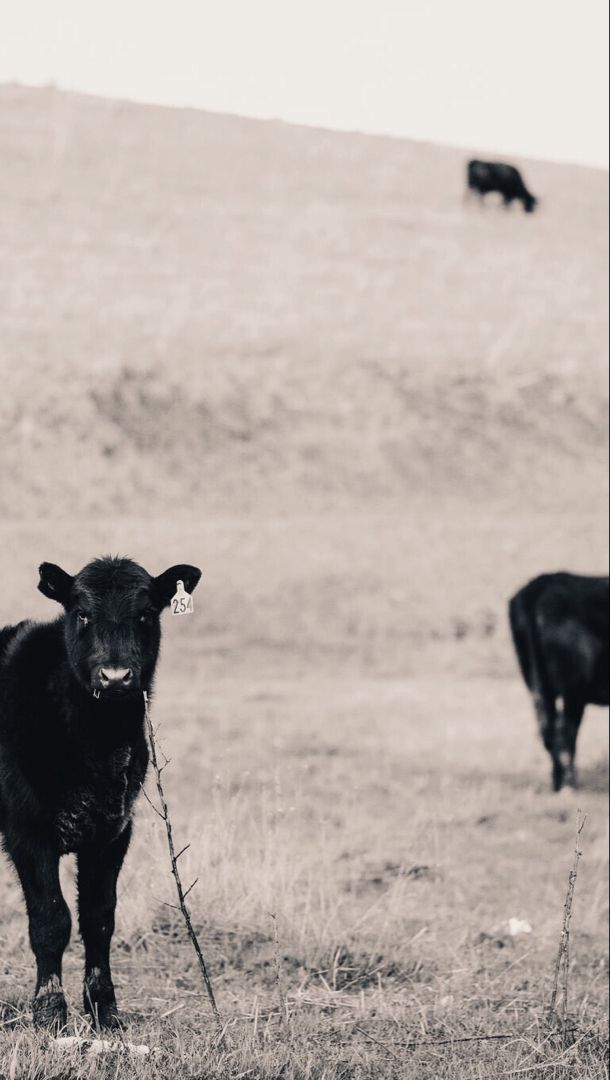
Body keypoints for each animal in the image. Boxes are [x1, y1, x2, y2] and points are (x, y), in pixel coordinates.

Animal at [0, 556, 201, 1030]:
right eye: (82, 614)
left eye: (146, 614)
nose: (115, 677)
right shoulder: (26, 829)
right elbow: (51, 920)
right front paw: (50, 1013)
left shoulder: (114, 830)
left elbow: (99, 917)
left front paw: (104, 1009)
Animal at [509, 573, 609, 792]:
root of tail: (540, 585)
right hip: (574, 688)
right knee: (565, 729)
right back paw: (569, 784)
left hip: (540, 685)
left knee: (548, 728)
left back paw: (558, 782)